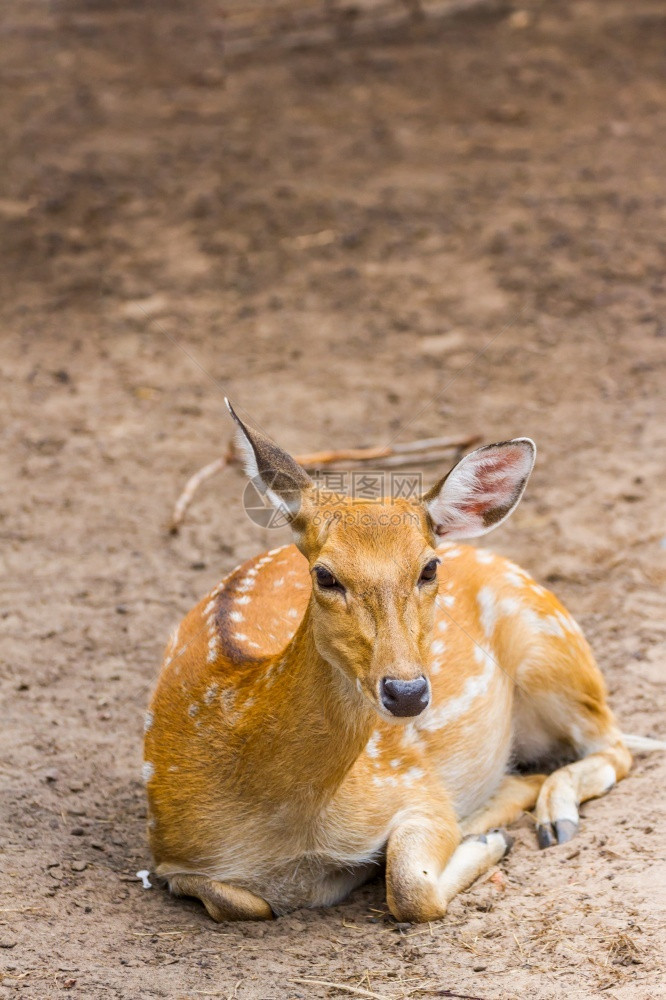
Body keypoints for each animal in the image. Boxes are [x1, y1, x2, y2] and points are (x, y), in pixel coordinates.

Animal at [143, 402, 660, 924]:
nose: (407, 692)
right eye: (324, 575)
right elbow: (239, 901)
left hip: (550, 642)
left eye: (428, 567)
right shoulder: (168, 854)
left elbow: (410, 886)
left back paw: (547, 820)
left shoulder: (415, 785)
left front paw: (486, 838)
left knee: (613, 746)